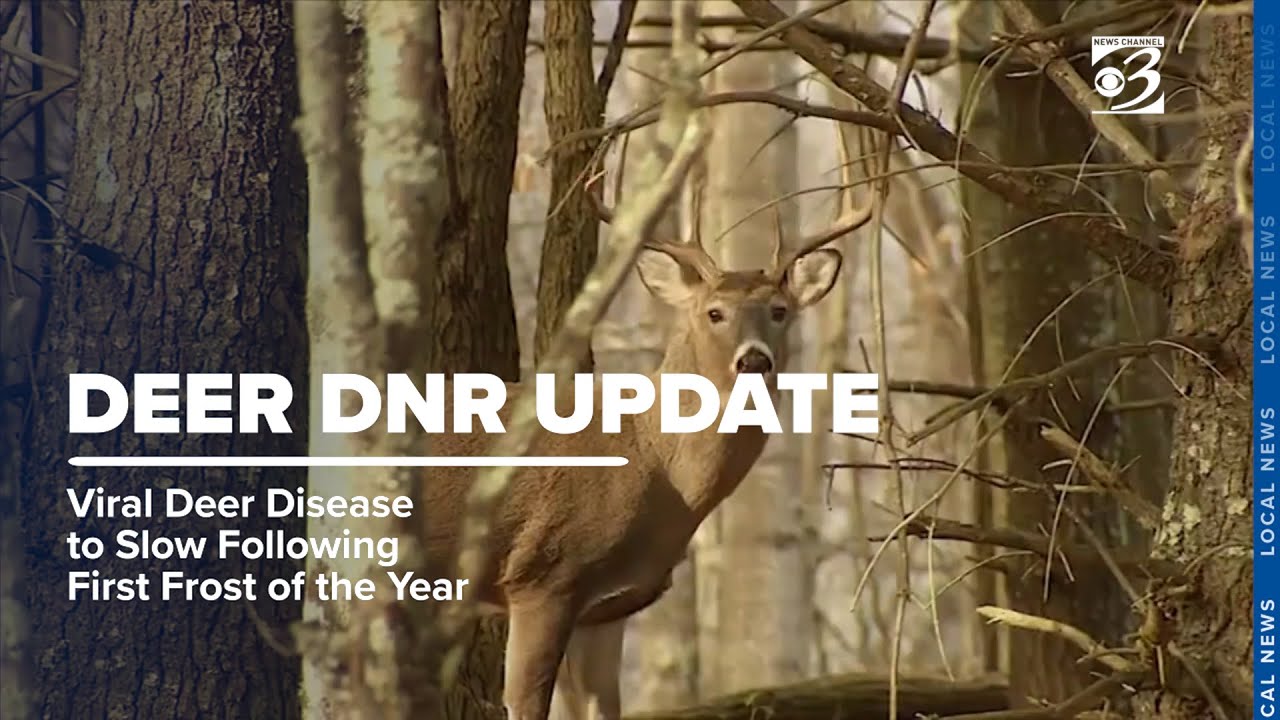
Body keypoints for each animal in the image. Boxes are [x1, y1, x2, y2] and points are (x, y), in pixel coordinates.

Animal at [418, 199, 871, 720]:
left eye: (780, 311)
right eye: (714, 312)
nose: (754, 360)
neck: (654, 465)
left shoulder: (608, 607)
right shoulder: (541, 574)